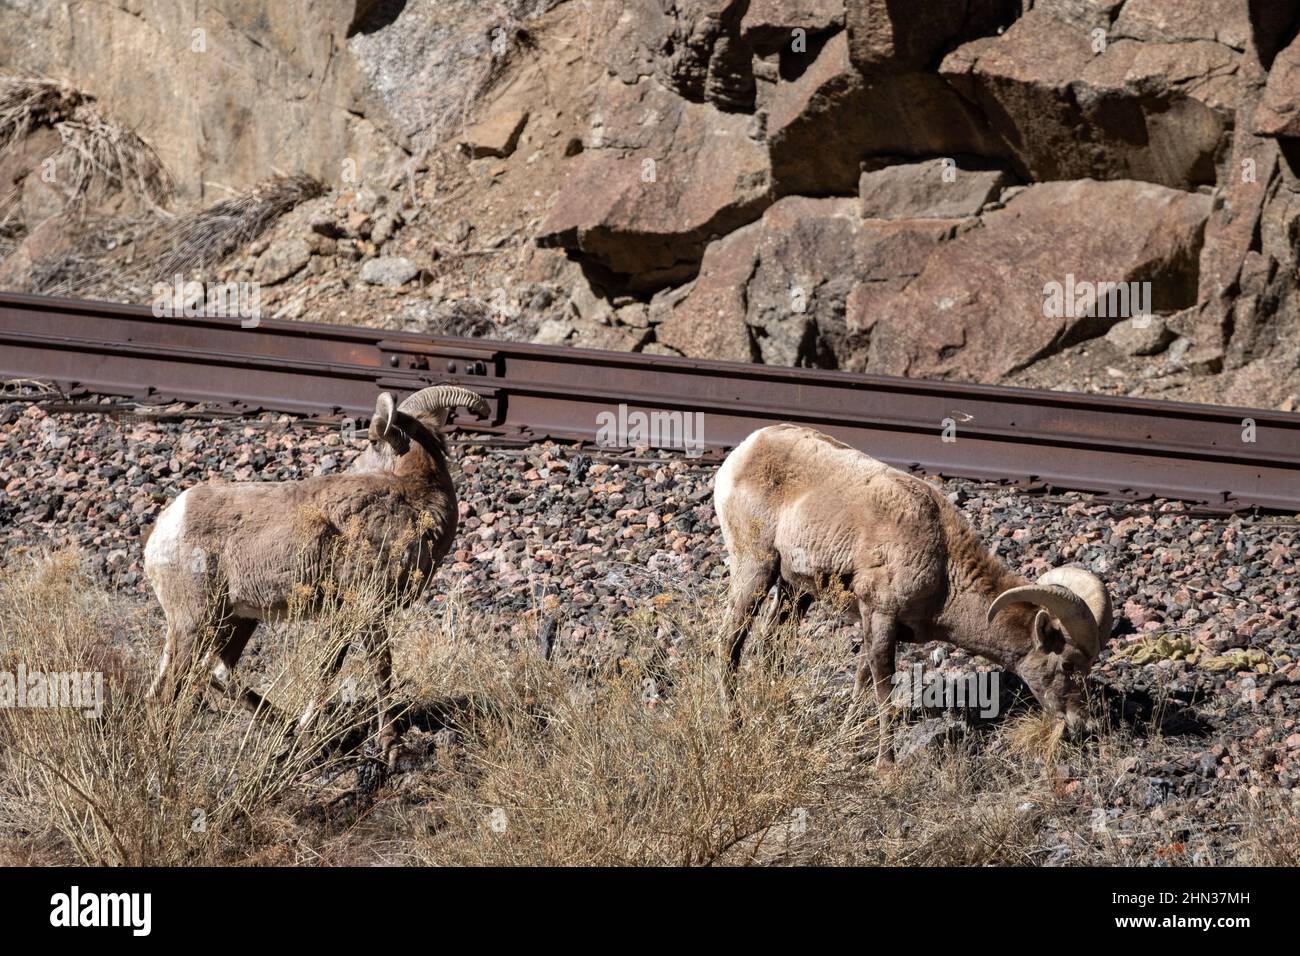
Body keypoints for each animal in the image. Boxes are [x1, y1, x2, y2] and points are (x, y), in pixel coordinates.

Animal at [141, 385, 488, 764]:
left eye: (370, 441)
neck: (415, 501)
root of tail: (163, 529)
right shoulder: (366, 611)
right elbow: (379, 669)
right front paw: (392, 747)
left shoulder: (345, 617)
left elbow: (328, 669)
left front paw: (308, 731)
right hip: (196, 624)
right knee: (170, 691)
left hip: (236, 621)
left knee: (213, 673)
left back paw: (289, 728)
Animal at [717, 424, 1112, 764]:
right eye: (1067, 665)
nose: (1082, 725)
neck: (943, 565)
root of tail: (746, 449)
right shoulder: (880, 616)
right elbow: (883, 694)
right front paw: (885, 765)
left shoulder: (876, 625)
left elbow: (862, 682)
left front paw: (848, 736)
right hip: (756, 567)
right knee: (729, 642)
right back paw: (734, 725)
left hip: (795, 589)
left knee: (771, 647)